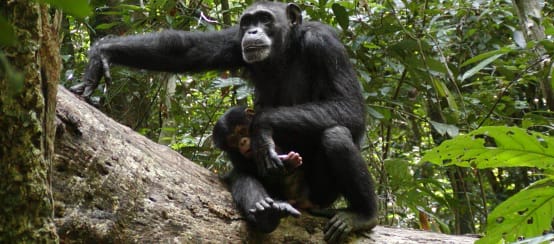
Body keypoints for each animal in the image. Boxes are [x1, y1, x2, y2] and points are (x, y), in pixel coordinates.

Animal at [70, 1, 376, 242]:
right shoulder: (233, 41)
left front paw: (262, 127)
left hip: (322, 194)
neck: (285, 50)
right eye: (247, 22)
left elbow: (348, 107)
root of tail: (299, 200)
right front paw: (103, 53)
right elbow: (184, 50)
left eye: (265, 19)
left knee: (335, 136)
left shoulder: (325, 44)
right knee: (242, 176)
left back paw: (363, 216)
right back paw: (266, 211)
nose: (253, 31)